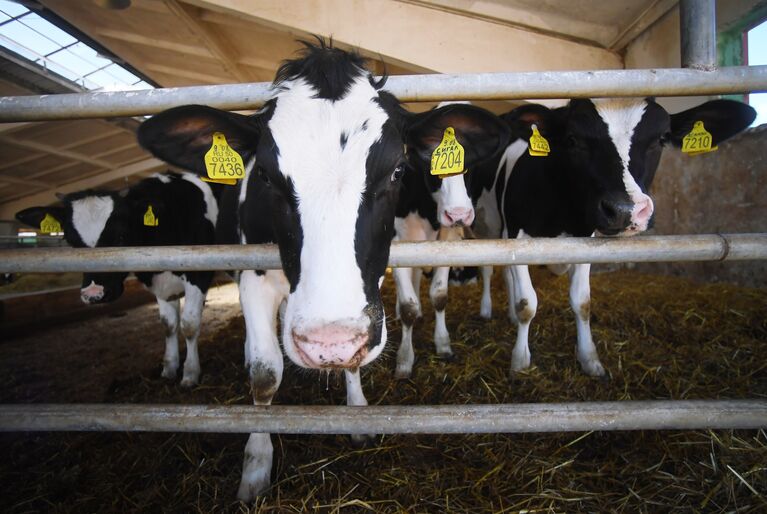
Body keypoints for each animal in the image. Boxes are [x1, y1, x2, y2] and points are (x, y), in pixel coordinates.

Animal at [15, 170, 222, 386]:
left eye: (121, 237)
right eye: (72, 243)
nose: (94, 293)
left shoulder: (199, 274)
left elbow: (189, 325)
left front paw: (190, 373)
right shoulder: (162, 282)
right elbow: (169, 325)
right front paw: (169, 368)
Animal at [390, 102, 510, 378]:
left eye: (471, 165)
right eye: (429, 163)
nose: (458, 214)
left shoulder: (447, 239)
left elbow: (439, 295)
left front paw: (443, 344)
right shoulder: (397, 241)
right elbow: (408, 307)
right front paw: (404, 360)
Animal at [496, 97, 752, 376]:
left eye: (662, 138)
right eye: (572, 139)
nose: (624, 210)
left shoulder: (583, 241)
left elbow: (582, 302)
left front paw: (589, 358)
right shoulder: (516, 237)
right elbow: (526, 303)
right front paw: (520, 362)